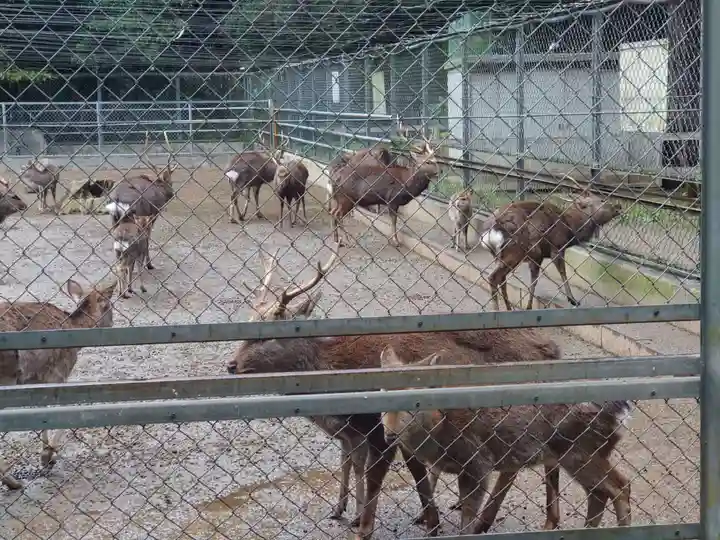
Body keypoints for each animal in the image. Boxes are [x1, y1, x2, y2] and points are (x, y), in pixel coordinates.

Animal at [0, 278, 117, 490]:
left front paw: (46, 455)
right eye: (110, 305)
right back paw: (12, 481)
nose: (112, 323)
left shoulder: (35, 380)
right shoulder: (58, 373)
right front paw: (49, 455)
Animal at [105, 131, 177, 270]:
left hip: (114, 218)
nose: (172, 193)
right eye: (170, 182)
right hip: (133, 214)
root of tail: (116, 197)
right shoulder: (153, 213)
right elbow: (148, 236)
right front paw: (149, 264)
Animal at [227, 247, 566, 538]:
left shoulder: (378, 429)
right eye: (247, 323)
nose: (231, 364)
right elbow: (368, 467)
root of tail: (553, 348)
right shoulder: (360, 432)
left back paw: (502, 520)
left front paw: (369, 525)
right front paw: (353, 512)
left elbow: (378, 478)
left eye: (269, 335)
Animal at [380, 345, 632, 535]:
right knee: (599, 493)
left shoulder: (477, 462)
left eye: (413, 400)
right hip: (585, 453)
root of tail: (621, 413)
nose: (390, 434)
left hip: (580, 451)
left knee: (620, 486)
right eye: (380, 394)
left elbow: (468, 517)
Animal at [480, 192, 622, 311]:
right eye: (602, 200)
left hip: (499, 254)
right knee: (493, 277)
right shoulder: (556, 248)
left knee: (502, 279)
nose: (619, 206)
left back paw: (509, 309)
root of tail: (489, 231)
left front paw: (528, 306)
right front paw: (573, 300)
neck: (570, 229)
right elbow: (563, 273)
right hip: (515, 250)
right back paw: (497, 311)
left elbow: (534, 281)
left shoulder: (537, 256)